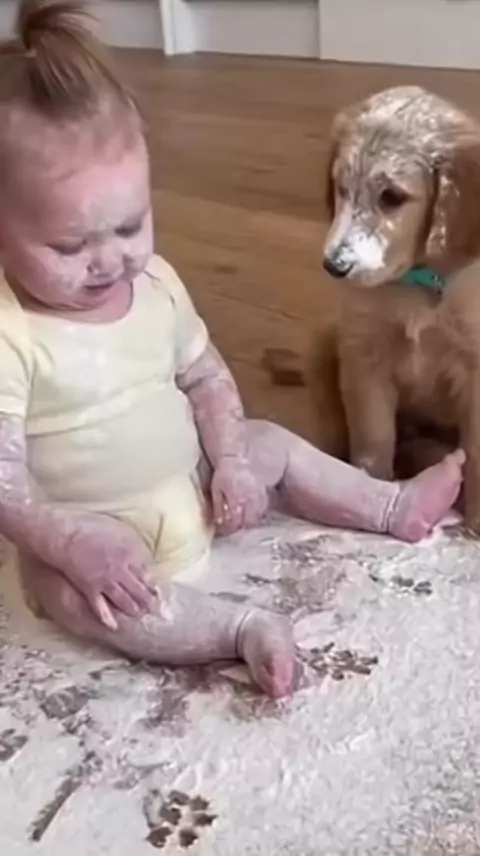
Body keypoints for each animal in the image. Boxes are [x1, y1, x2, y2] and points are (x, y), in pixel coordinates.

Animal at [264, 85, 480, 533]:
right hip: (325, 341)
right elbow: (373, 437)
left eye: (392, 197)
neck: (418, 284)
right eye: (341, 188)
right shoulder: (364, 355)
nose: (334, 266)